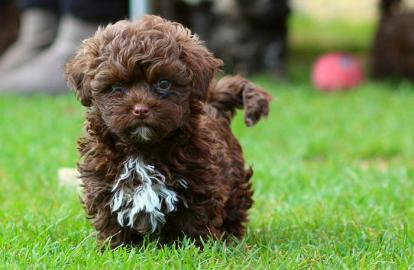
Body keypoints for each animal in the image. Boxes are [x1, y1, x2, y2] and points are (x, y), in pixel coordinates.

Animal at [64, 14, 272, 247]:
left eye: (163, 84)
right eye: (117, 87)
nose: (140, 109)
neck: (142, 149)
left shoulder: (200, 183)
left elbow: (197, 218)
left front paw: (198, 248)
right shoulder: (103, 183)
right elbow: (109, 218)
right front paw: (114, 247)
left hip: (234, 180)